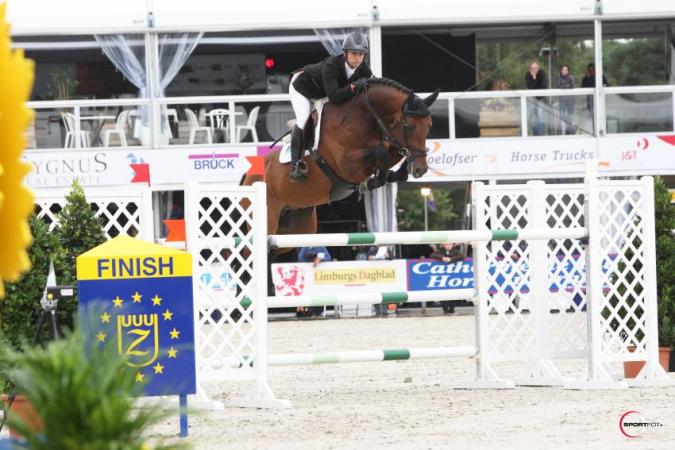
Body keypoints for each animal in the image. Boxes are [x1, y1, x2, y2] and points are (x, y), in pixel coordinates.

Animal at [242, 77, 439, 253]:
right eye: (411, 126)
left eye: (430, 125)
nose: (421, 170)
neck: (362, 117)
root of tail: (248, 177)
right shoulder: (346, 164)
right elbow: (381, 151)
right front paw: (377, 179)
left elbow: (390, 150)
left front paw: (392, 175)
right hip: (269, 219)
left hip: (294, 229)